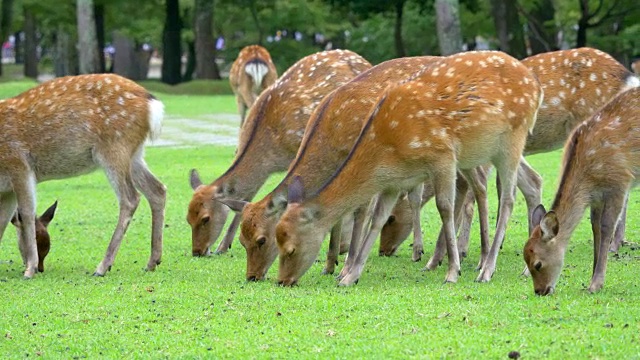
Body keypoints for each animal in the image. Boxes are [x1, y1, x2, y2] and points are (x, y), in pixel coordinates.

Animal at [0, 73, 168, 278]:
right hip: (134, 154)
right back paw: (152, 261)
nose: (40, 268)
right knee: (157, 189)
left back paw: (102, 267)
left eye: (45, 247)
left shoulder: (19, 164)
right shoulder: (6, 188)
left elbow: (26, 213)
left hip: (114, 147)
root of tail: (152, 104)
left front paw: (29, 270)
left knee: (130, 198)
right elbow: (3, 220)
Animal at [186, 49, 370, 258]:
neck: (272, 151)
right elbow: (247, 198)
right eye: (188, 219)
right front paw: (223, 246)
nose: (197, 251)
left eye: (205, 218)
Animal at [272, 51, 544, 286]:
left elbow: (444, 208)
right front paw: (350, 276)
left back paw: (487, 269)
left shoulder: (443, 157)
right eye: (277, 242)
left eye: (290, 249)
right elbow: (378, 219)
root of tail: (536, 86)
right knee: (516, 185)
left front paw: (452, 272)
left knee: (508, 198)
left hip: (512, 139)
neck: (388, 148)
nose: (282, 281)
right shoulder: (394, 181)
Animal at [382, 47, 636, 278]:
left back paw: (614, 243)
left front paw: (452, 257)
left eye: (391, 218)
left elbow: (468, 196)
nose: (383, 250)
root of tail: (627, 75)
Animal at [524, 86, 640, 296]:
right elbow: (595, 227)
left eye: (537, 264)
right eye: (524, 259)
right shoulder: (596, 197)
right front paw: (593, 277)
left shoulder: (619, 182)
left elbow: (606, 227)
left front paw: (596, 284)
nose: (540, 291)